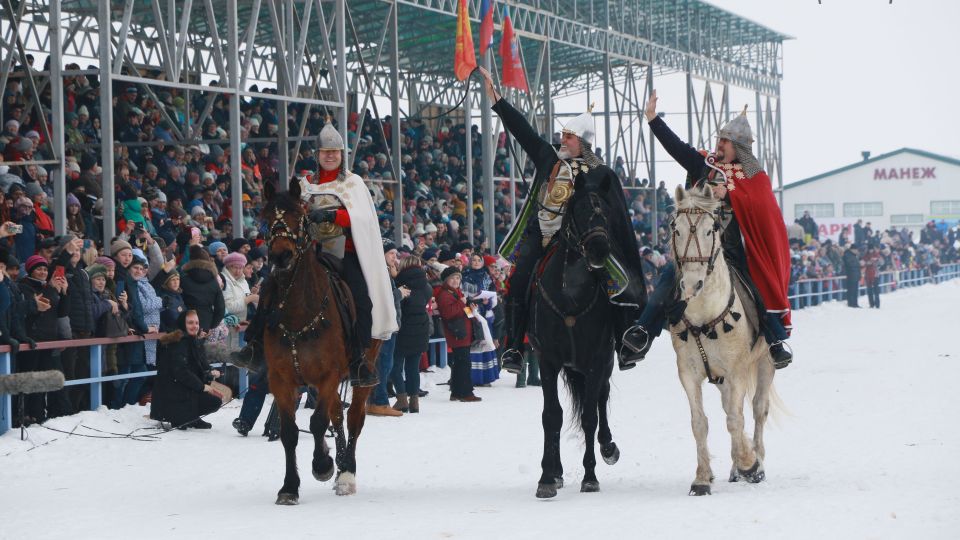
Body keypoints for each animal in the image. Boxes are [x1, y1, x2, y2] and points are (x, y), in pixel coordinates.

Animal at [264, 181, 384, 506]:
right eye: (266, 216)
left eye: (299, 215)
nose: (281, 255)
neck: (298, 311)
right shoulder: (280, 379)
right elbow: (290, 432)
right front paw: (289, 487)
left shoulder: (329, 375)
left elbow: (317, 423)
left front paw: (322, 465)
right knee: (337, 416)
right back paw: (341, 463)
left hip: (363, 369)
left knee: (354, 418)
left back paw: (346, 473)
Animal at [524, 174, 632, 498]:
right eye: (581, 210)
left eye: (606, 213)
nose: (599, 250)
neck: (570, 294)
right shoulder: (548, 360)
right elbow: (552, 415)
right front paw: (547, 477)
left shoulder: (596, 359)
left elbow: (589, 417)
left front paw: (590, 476)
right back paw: (558, 471)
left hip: (602, 363)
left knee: (600, 399)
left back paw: (608, 448)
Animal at [672, 184, 776, 496]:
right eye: (676, 229)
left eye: (711, 230)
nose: (691, 285)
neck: (705, 314)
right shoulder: (688, 373)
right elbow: (699, 423)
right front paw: (702, 479)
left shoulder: (737, 371)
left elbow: (735, 418)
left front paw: (750, 465)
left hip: (765, 363)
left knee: (757, 409)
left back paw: (755, 460)